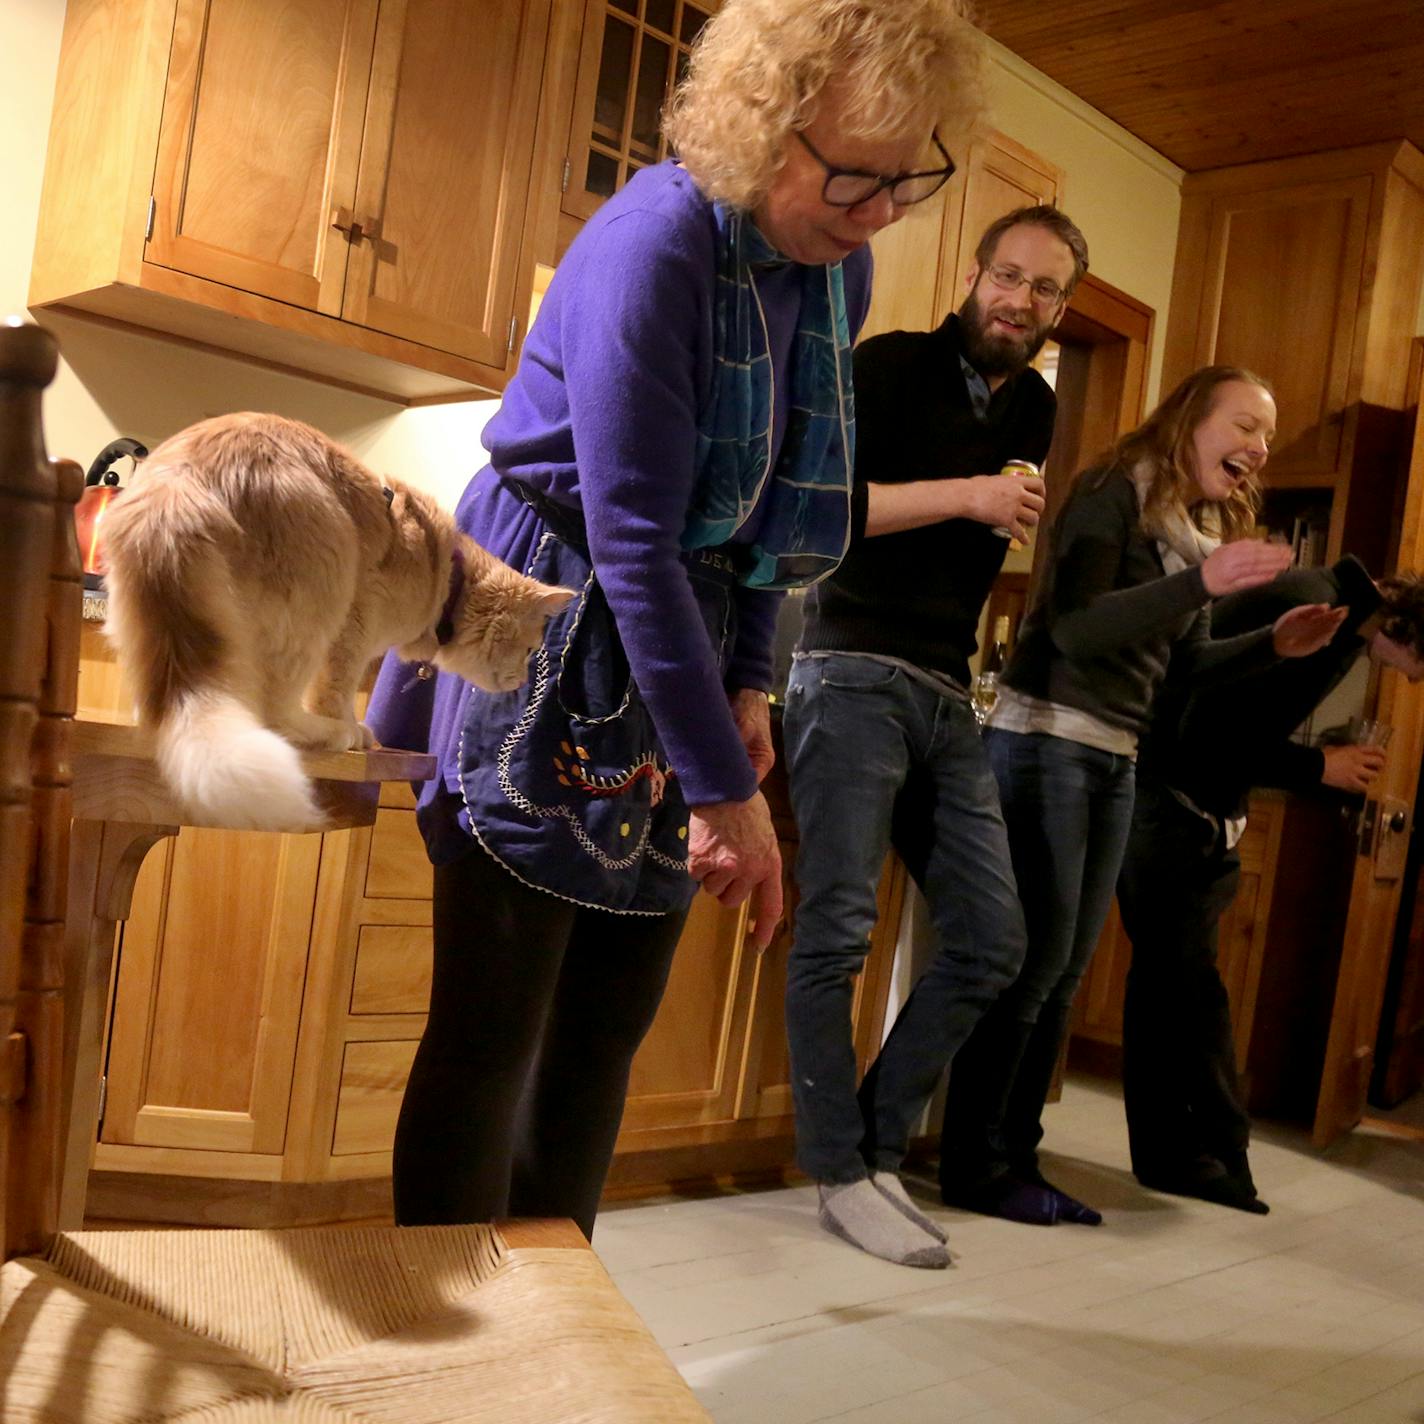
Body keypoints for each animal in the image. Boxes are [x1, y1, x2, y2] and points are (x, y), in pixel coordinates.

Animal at [103, 412, 569, 831]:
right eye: (531, 649)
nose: (522, 681)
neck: (445, 576)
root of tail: (178, 479)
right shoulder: (357, 624)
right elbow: (338, 689)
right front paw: (352, 726)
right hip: (325, 582)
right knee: (276, 710)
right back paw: (330, 732)